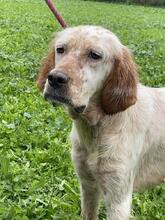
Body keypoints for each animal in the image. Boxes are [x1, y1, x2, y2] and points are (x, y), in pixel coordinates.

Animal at [36, 26, 164, 220]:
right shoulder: (88, 185)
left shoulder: (118, 198)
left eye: (95, 55)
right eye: (60, 49)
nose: (55, 78)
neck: (97, 126)